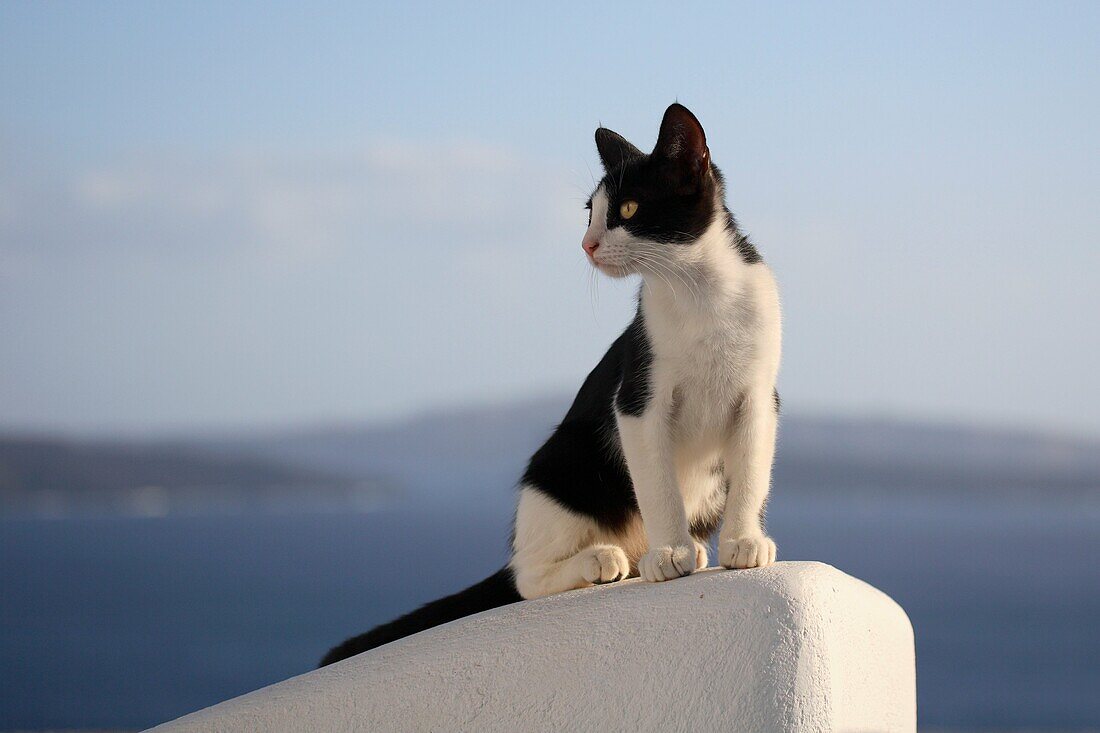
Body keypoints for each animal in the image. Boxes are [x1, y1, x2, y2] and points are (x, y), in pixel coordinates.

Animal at [321, 102, 783, 669]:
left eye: (628, 209)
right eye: (590, 213)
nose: (587, 244)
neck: (701, 296)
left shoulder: (760, 397)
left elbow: (752, 471)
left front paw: (743, 541)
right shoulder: (636, 398)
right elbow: (657, 485)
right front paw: (670, 552)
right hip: (563, 465)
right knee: (527, 578)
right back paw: (604, 560)